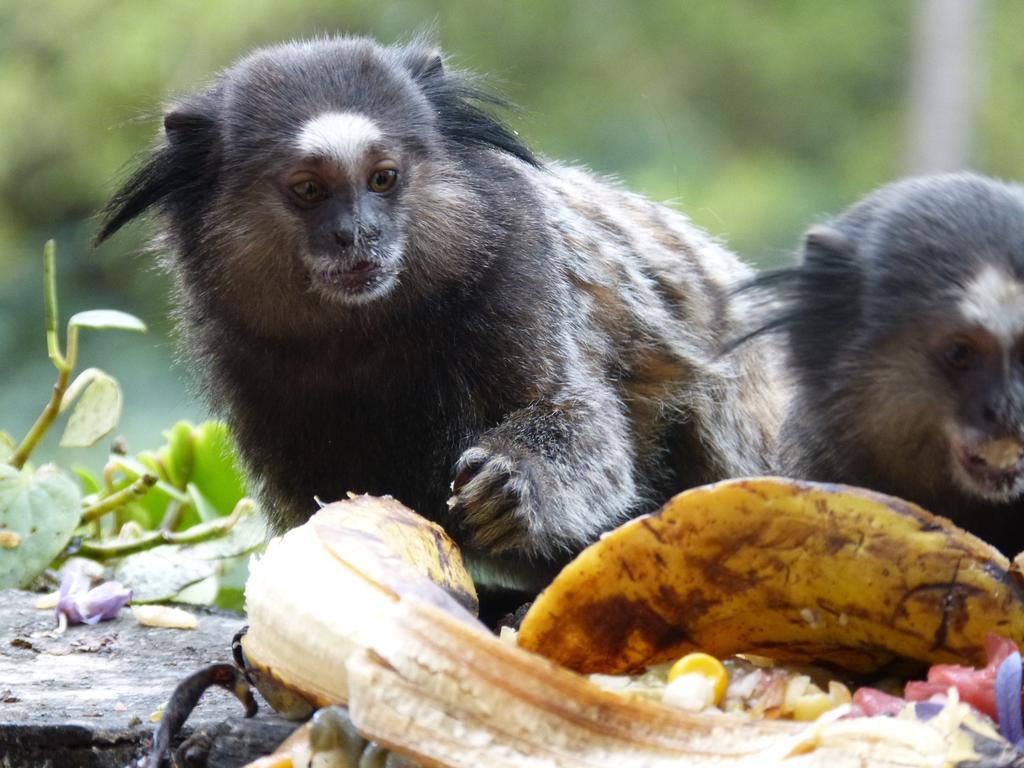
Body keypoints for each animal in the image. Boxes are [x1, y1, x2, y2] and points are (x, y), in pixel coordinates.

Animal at [97, 36, 782, 593]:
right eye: (310, 190)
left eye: (382, 179)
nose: (358, 235)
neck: (368, 333)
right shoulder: (243, 354)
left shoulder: (524, 263)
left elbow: (580, 423)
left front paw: (513, 484)